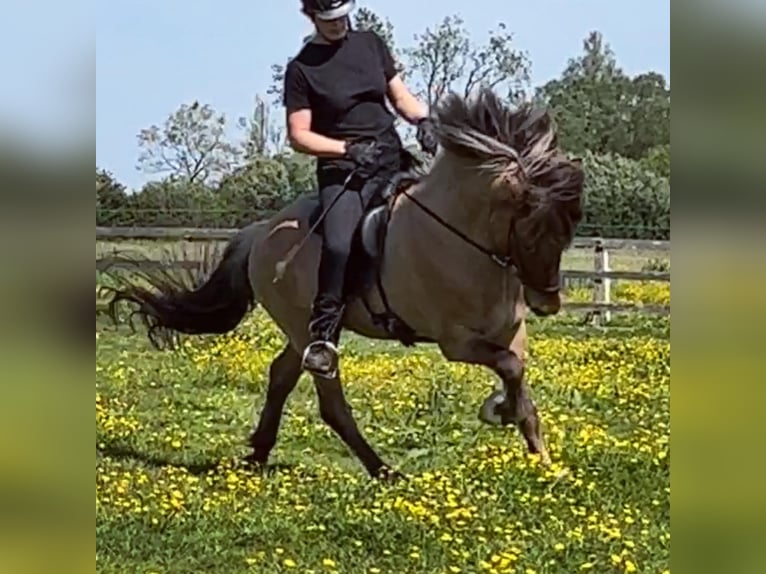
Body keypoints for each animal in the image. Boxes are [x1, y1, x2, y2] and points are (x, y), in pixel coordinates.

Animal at [106, 89, 588, 482]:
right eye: (531, 230)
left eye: (567, 232)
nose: (548, 303)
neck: (460, 237)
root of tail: (262, 232)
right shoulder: (456, 342)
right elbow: (510, 369)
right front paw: (500, 411)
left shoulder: (512, 332)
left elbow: (521, 385)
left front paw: (545, 462)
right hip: (309, 330)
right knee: (330, 402)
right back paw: (383, 471)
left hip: (307, 329)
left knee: (280, 375)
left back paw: (258, 454)